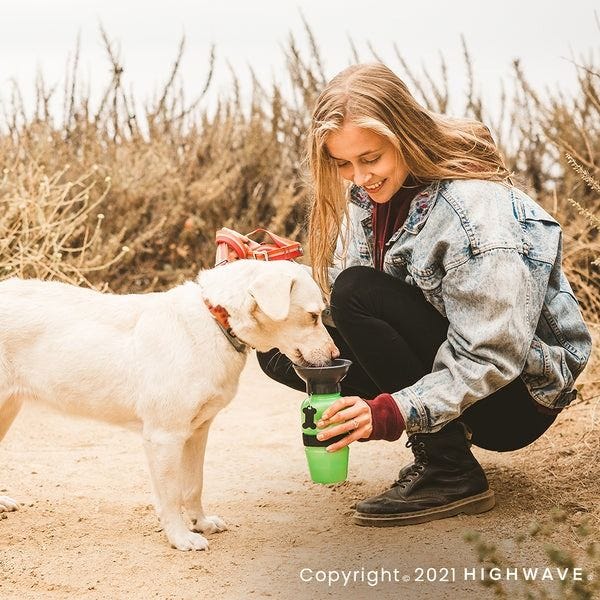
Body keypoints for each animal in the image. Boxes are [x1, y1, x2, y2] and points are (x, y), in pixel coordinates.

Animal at [0, 260, 338, 552]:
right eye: (313, 316)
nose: (336, 356)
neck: (215, 321)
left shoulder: (198, 432)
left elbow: (194, 486)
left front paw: (201, 523)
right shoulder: (164, 437)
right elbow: (172, 495)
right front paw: (180, 538)